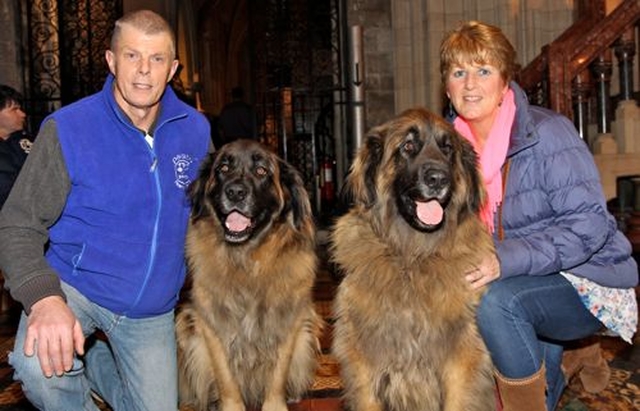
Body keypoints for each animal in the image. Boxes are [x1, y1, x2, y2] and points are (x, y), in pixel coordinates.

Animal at [175, 139, 322, 411]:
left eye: (262, 171)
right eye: (223, 168)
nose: (235, 192)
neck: (248, 260)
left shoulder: (288, 319)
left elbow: (278, 373)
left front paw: (275, 405)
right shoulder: (211, 323)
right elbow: (226, 378)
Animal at [332, 108, 498, 411]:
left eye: (447, 149)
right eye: (408, 146)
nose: (438, 179)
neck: (412, 260)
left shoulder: (461, 357)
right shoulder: (364, 358)